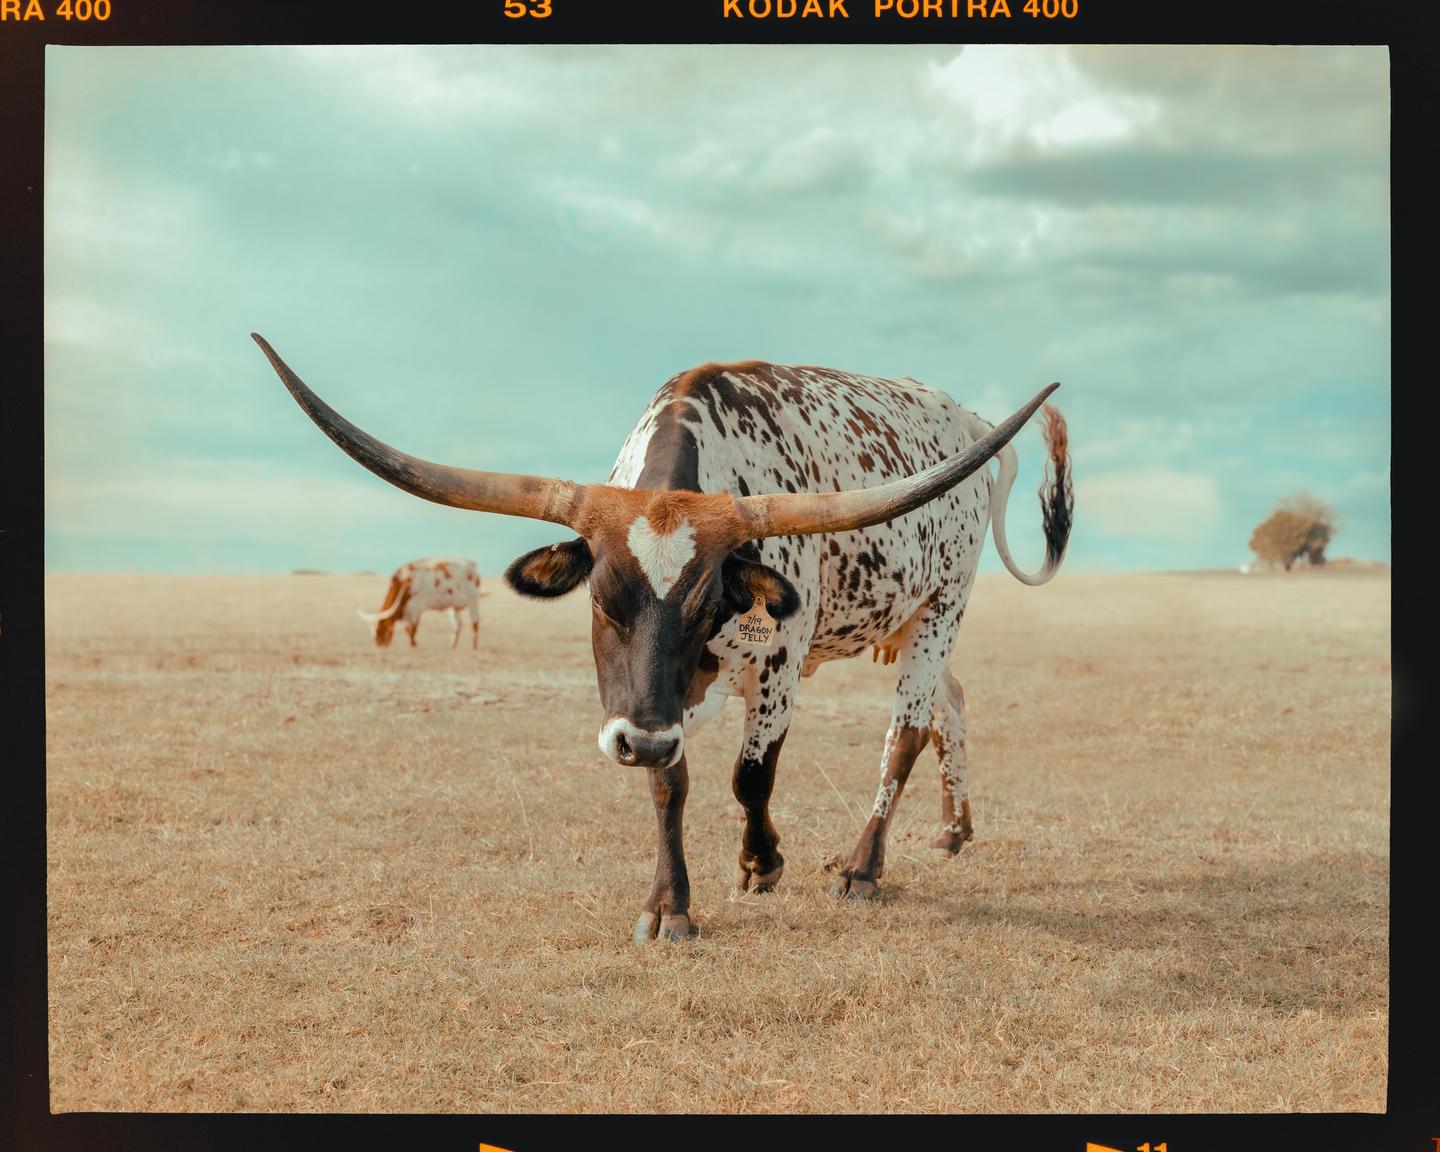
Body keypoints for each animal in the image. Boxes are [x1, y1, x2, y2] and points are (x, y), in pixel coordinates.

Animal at [253, 334, 1073, 942]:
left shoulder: (781, 658)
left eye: (709, 606)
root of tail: (973, 427)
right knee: (950, 707)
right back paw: (953, 831)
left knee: (905, 733)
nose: (642, 738)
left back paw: (864, 867)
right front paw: (668, 905)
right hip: (903, 624)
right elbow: (667, 782)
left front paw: (762, 864)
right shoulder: (654, 702)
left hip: (943, 603)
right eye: (601, 601)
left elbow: (752, 775)